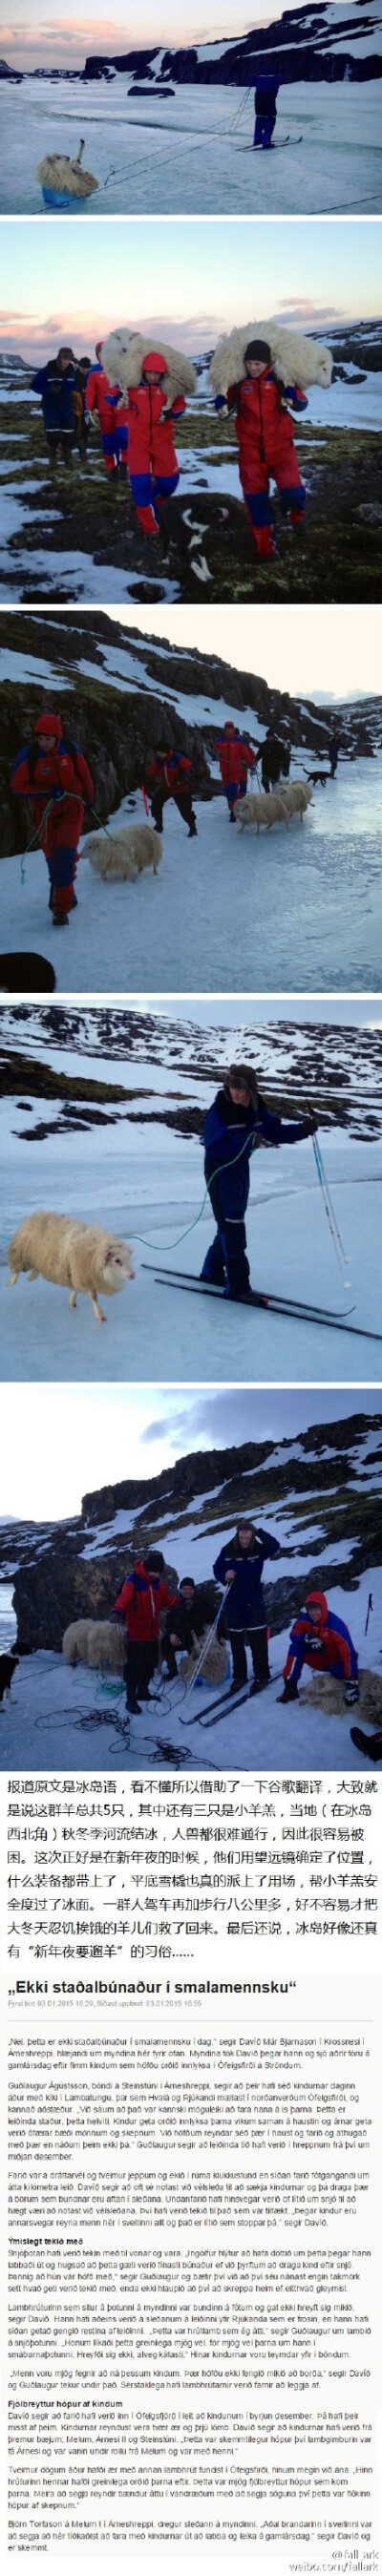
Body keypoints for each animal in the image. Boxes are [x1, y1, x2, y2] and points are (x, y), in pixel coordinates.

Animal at [6, 1211, 135, 1319]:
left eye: (129, 1258)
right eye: (117, 1260)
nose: (133, 1275)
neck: (94, 1253)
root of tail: (34, 1215)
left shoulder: (77, 1273)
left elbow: (76, 1288)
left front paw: (72, 1301)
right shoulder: (81, 1273)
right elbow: (93, 1296)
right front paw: (100, 1316)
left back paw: (31, 1277)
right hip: (22, 1254)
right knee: (16, 1271)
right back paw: (10, 1282)